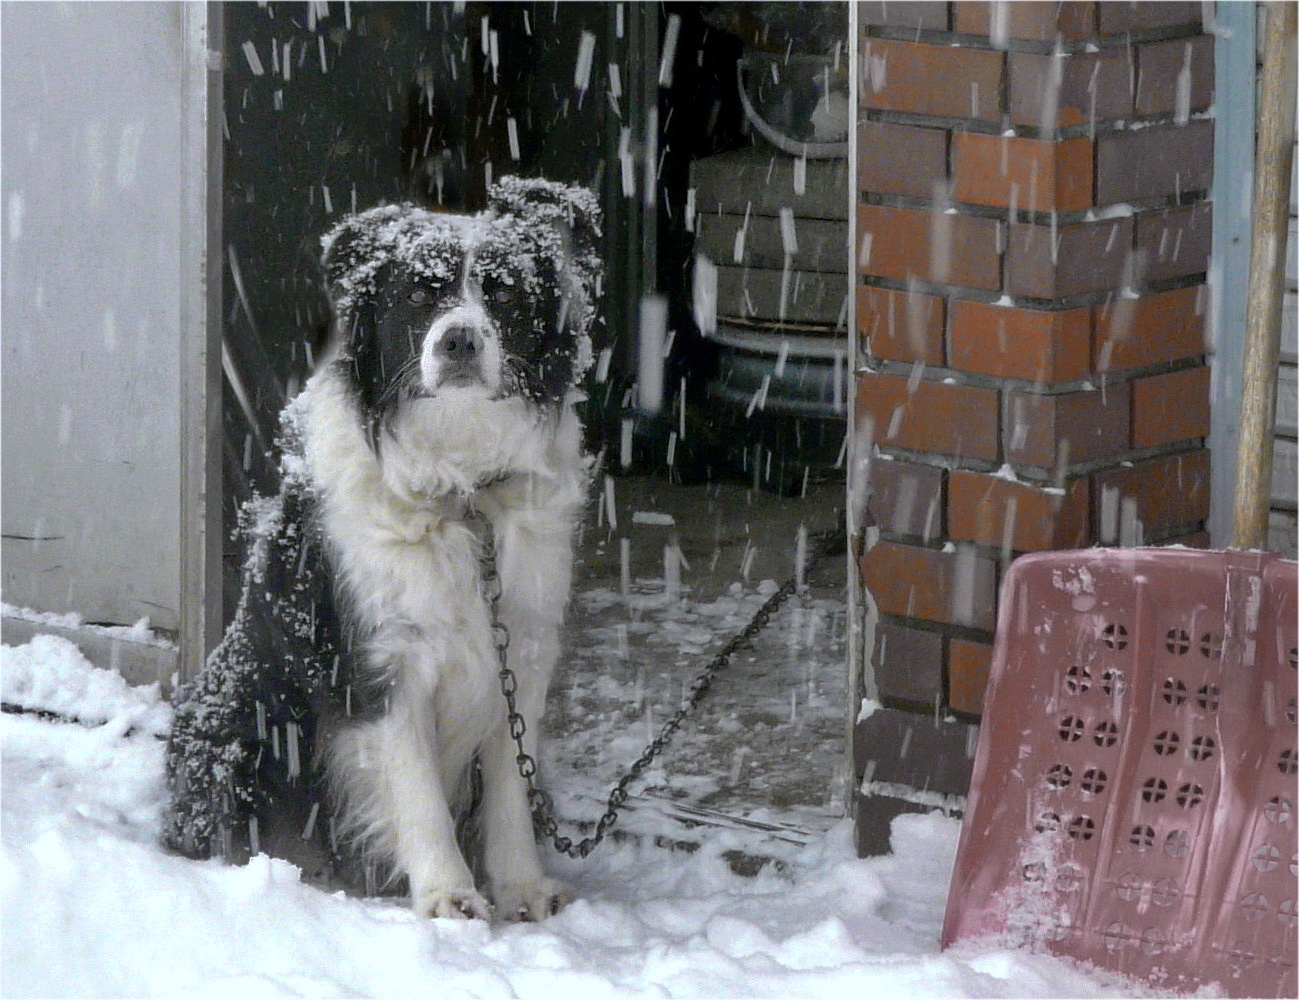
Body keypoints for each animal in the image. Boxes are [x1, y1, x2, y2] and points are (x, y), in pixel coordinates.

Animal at [163, 175, 602, 914]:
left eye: (504, 292)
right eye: (420, 295)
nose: (459, 341)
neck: (461, 488)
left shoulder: (521, 647)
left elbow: (511, 791)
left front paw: (520, 889)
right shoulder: (380, 658)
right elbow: (415, 789)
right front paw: (449, 896)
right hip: (234, 724)